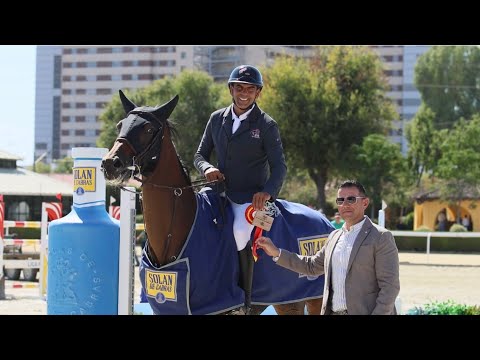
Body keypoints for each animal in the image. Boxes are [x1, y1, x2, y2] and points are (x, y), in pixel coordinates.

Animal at [101, 90, 334, 316]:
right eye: (120, 125)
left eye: (148, 129)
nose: (110, 163)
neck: (177, 229)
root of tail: (324, 220)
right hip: (288, 301)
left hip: (309, 299)